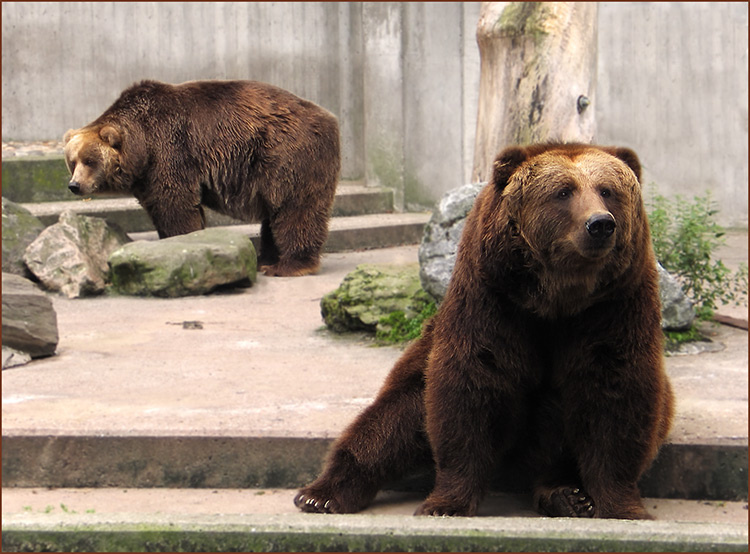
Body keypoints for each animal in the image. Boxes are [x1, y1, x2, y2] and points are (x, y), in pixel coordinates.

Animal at [63, 80, 341, 277]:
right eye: (72, 161)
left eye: (89, 160)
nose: (75, 185)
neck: (141, 147)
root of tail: (331, 118)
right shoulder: (147, 177)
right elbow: (158, 207)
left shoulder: (170, 151)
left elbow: (175, 205)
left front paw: (184, 242)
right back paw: (267, 259)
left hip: (286, 155)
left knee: (295, 209)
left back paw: (288, 265)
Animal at [294, 143, 674, 519]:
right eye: (564, 191)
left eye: (607, 190)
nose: (600, 224)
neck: (558, 297)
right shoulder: (493, 297)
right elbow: (473, 381)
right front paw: (446, 504)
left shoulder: (613, 305)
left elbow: (615, 390)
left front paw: (621, 506)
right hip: (421, 367)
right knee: (392, 419)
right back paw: (322, 494)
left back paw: (565, 493)